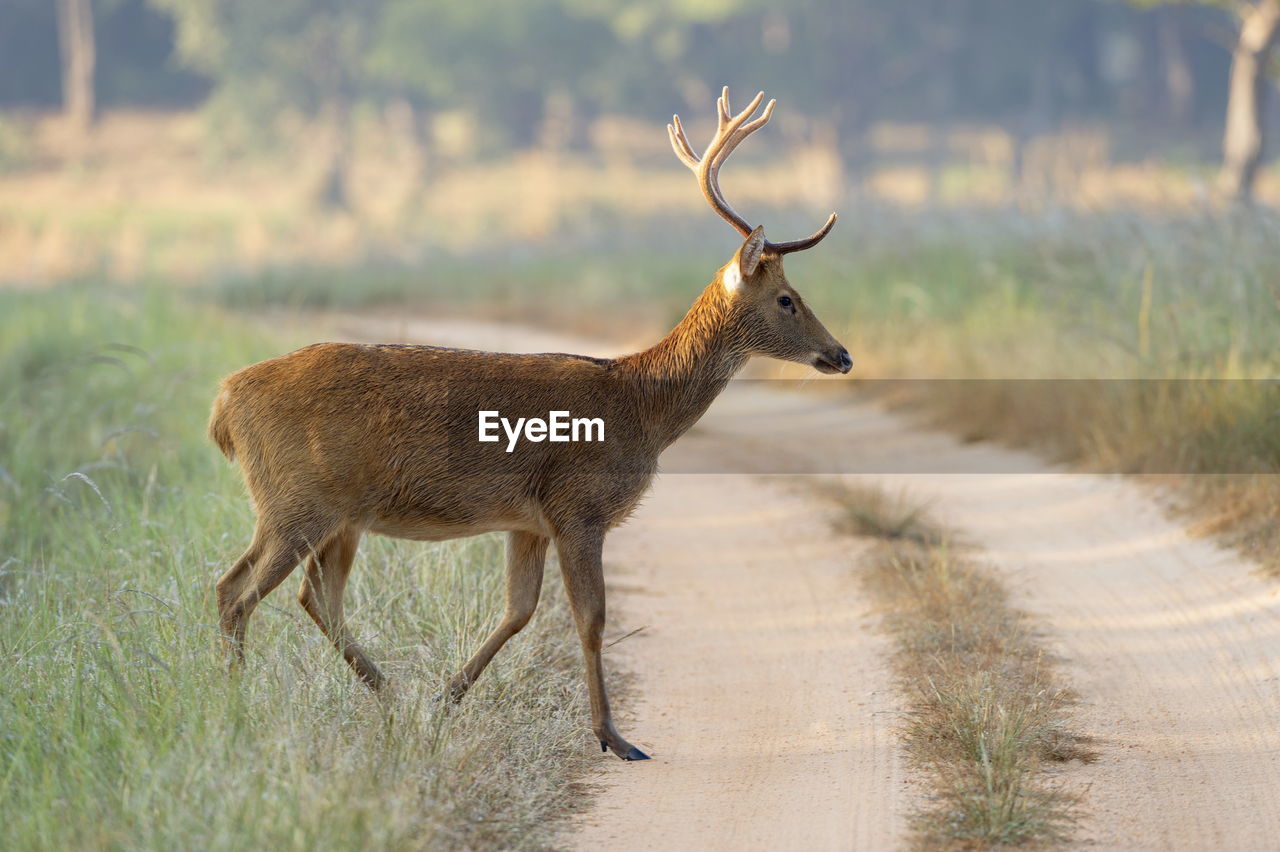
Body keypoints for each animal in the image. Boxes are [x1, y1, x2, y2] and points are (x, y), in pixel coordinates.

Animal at [207, 86, 849, 757]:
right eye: (787, 300)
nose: (842, 355)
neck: (640, 408)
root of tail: (225, 402)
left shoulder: (528, 520)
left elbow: (517, 611)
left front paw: (445, 698)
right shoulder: (578, 505)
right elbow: (590, 619)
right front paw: (613, 737)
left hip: (338, 514)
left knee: (309, 596)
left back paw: (389, 695)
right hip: (296, 497)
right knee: (236, 591)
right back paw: (240, 706)